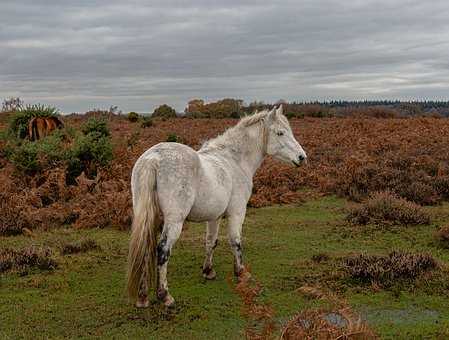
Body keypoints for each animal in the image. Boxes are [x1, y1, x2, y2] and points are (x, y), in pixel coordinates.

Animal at [128, 105, 306, 308]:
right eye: (280, 132)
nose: (302, 157)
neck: (234, 160)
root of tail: (153, 159)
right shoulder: (237, 213)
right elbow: (235, 241)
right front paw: (241, 272)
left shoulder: (214, 217)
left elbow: (210, 242)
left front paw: (208, 271)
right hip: (174, 221)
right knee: (163, 251)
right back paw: (164, 295)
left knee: (145, 250)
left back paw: (143, 297)